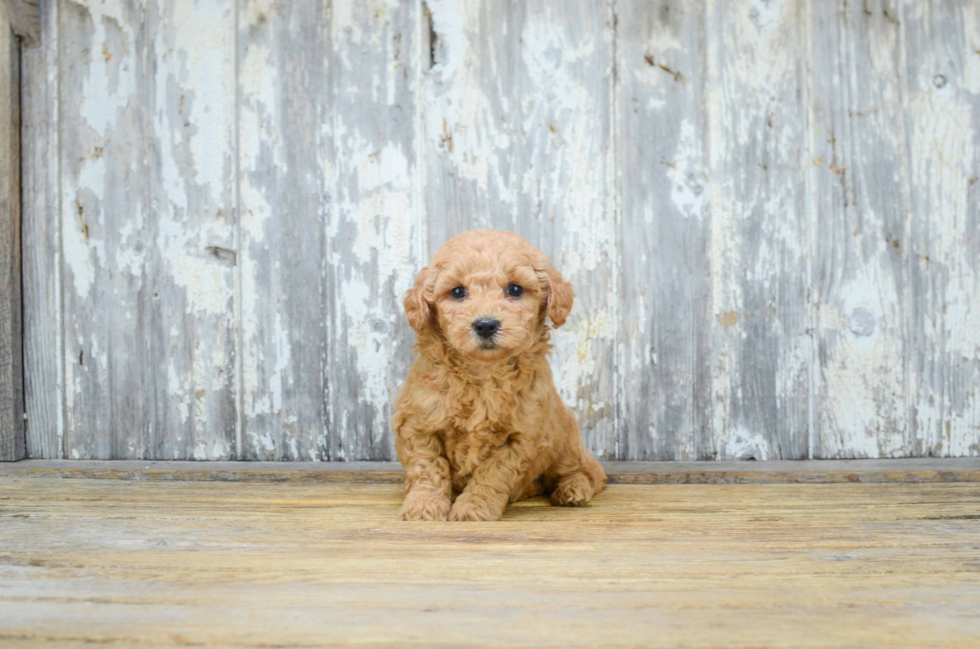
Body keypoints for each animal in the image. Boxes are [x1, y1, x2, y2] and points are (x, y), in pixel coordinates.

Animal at [390, 230, 604, 520]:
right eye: (457, 291)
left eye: (514, 289)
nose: (485, 325)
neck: (483, 374)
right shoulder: (417, 423)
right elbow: (427, 468)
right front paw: (424, 505)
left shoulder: (522, 436)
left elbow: (492, 474)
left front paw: (473, 507)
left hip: (565, 438)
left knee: (587, 471)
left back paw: (573, 490)